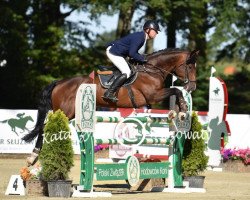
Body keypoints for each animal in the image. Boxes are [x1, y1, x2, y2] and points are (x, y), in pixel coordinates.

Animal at [23, 48, 199, 166]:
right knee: (45, 127)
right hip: (65, 112)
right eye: (190, 67)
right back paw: (33, 157)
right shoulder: (153, 95)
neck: (151, 70)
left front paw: (178, 111)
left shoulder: (153, 97)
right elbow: (176, 90)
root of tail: (59, 82)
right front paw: (182, 110)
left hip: (69, 113)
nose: (192, 87)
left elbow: (175, 92)